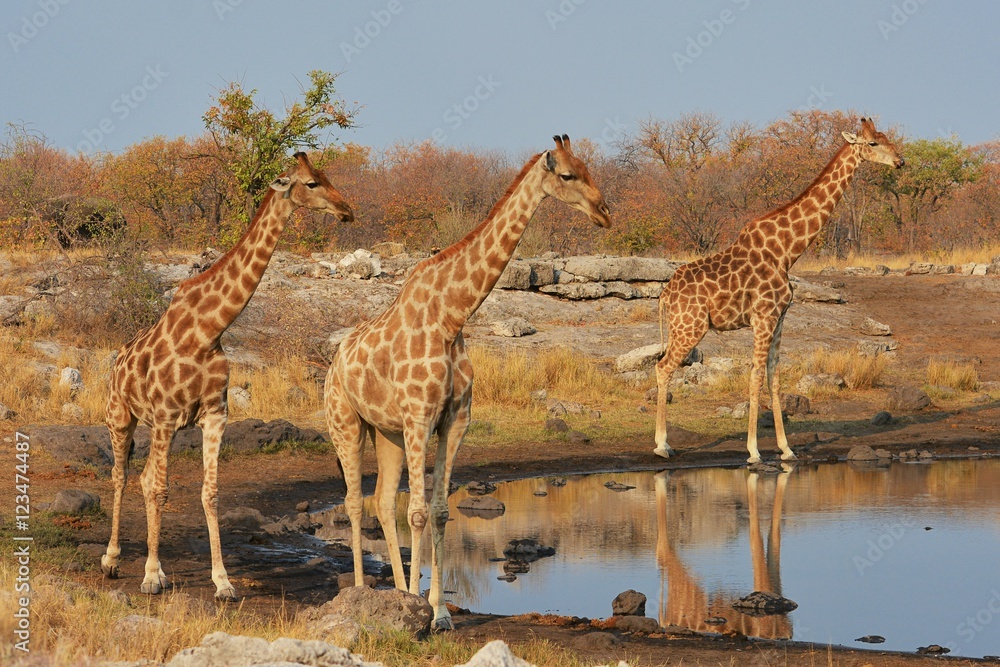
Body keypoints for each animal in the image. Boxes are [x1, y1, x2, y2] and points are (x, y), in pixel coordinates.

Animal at [101, 152, 353, 600]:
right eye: (310, 183)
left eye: (325, 176)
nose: (347, 211)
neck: (207, 330)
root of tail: (117, 361)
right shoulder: (166, 416)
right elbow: (160, 489)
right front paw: (152, 575)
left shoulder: (214, 415)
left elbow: (211, 492)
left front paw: (222, 581)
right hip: (121, 416)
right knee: (122, 476)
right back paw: (112, 560)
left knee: (141, 476)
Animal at [325, 135, 610, 630]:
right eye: (568, 175)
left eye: (589, 168)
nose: (604, 212)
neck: (452, 317)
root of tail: (331, 365)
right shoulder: (420, 417)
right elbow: (418, 512)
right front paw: (420, 606)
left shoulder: (454, 420)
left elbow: (439, 512)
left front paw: (437, 612)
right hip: (346, 423)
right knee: (356, 502)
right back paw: (362, 591)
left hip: (386, 432)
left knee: (382, 501)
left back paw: (395, 592)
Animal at [653, 118, 904, 463]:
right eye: (873, 143)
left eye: (887, 138)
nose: (900, 161)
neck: (786, 251)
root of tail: (665, 295)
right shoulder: (763, 316)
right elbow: (756, 376)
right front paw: (754, 451)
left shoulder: (780, 317)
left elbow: (774, 376)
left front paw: (786, 449)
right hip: (690, 326)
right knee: (663, 367)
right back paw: (662, 445)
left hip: (683, 327)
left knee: (661, 365)